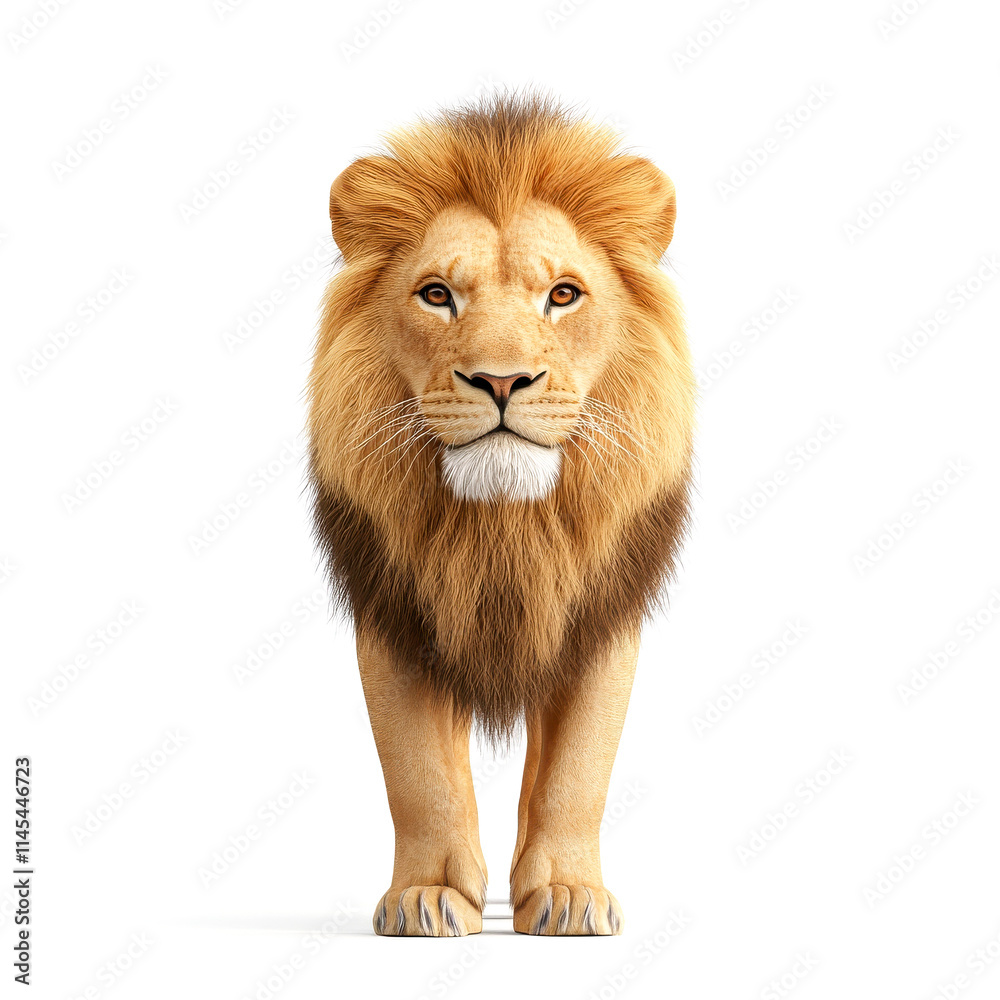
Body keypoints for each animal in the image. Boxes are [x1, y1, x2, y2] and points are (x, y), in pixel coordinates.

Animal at [308, 94, 694, 936]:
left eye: (563, 295)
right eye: (437, 294)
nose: (501, 380)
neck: (505, 527)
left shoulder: (601, 616)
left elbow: (576, 772)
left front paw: (570, 895)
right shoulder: (394, 610)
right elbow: (420, 775)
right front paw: (427, 896)